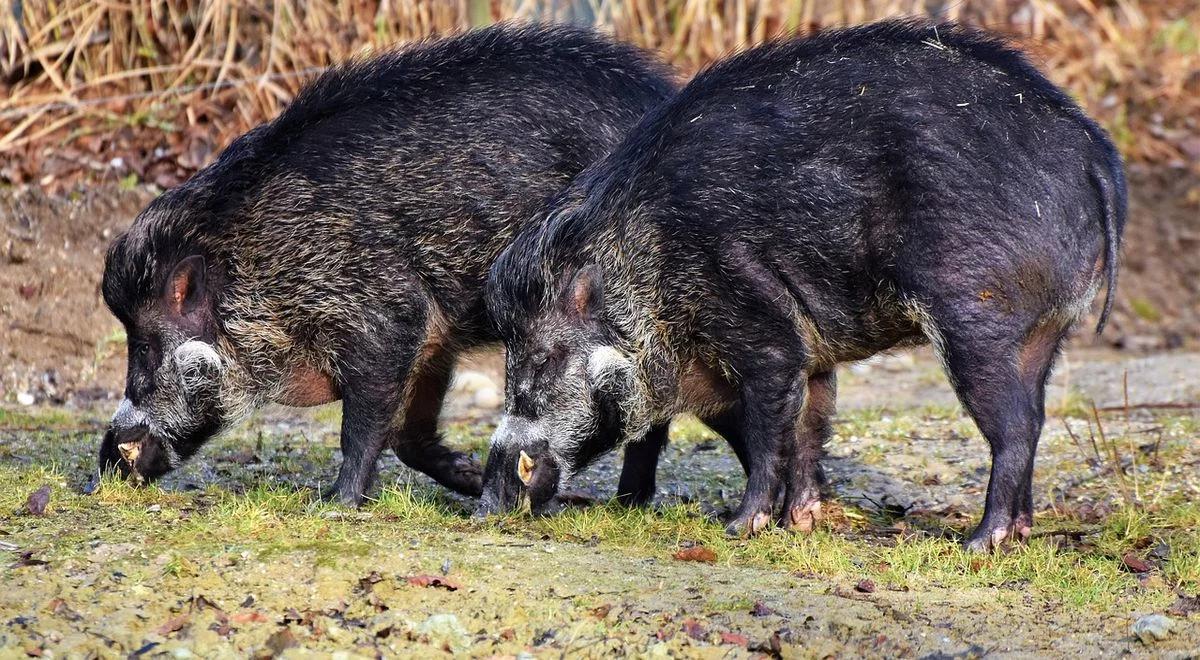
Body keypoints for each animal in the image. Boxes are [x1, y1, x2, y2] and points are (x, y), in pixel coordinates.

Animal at [88, 23, 681, 504]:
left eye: (145, 347)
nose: (104, 463)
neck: (257, 259)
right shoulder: (433, 337)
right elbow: (408, 436)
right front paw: (470, 478)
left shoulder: (385, 315)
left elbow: (364, 425)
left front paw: (335, 502)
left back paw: (625, 501)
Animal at [477, 19, 1123, 554]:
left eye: (544, 356)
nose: (484, 505)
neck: (646, 267)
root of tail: (1094, 151)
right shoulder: (808, 356)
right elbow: (810, 426)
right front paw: (800, 523)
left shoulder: (762, 326)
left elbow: (769, 431)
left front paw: (740, 528)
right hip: (1046, 330)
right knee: (1036, 413)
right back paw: (1020, 531)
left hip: (977, 315)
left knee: (1015, 425)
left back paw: (980, 543)